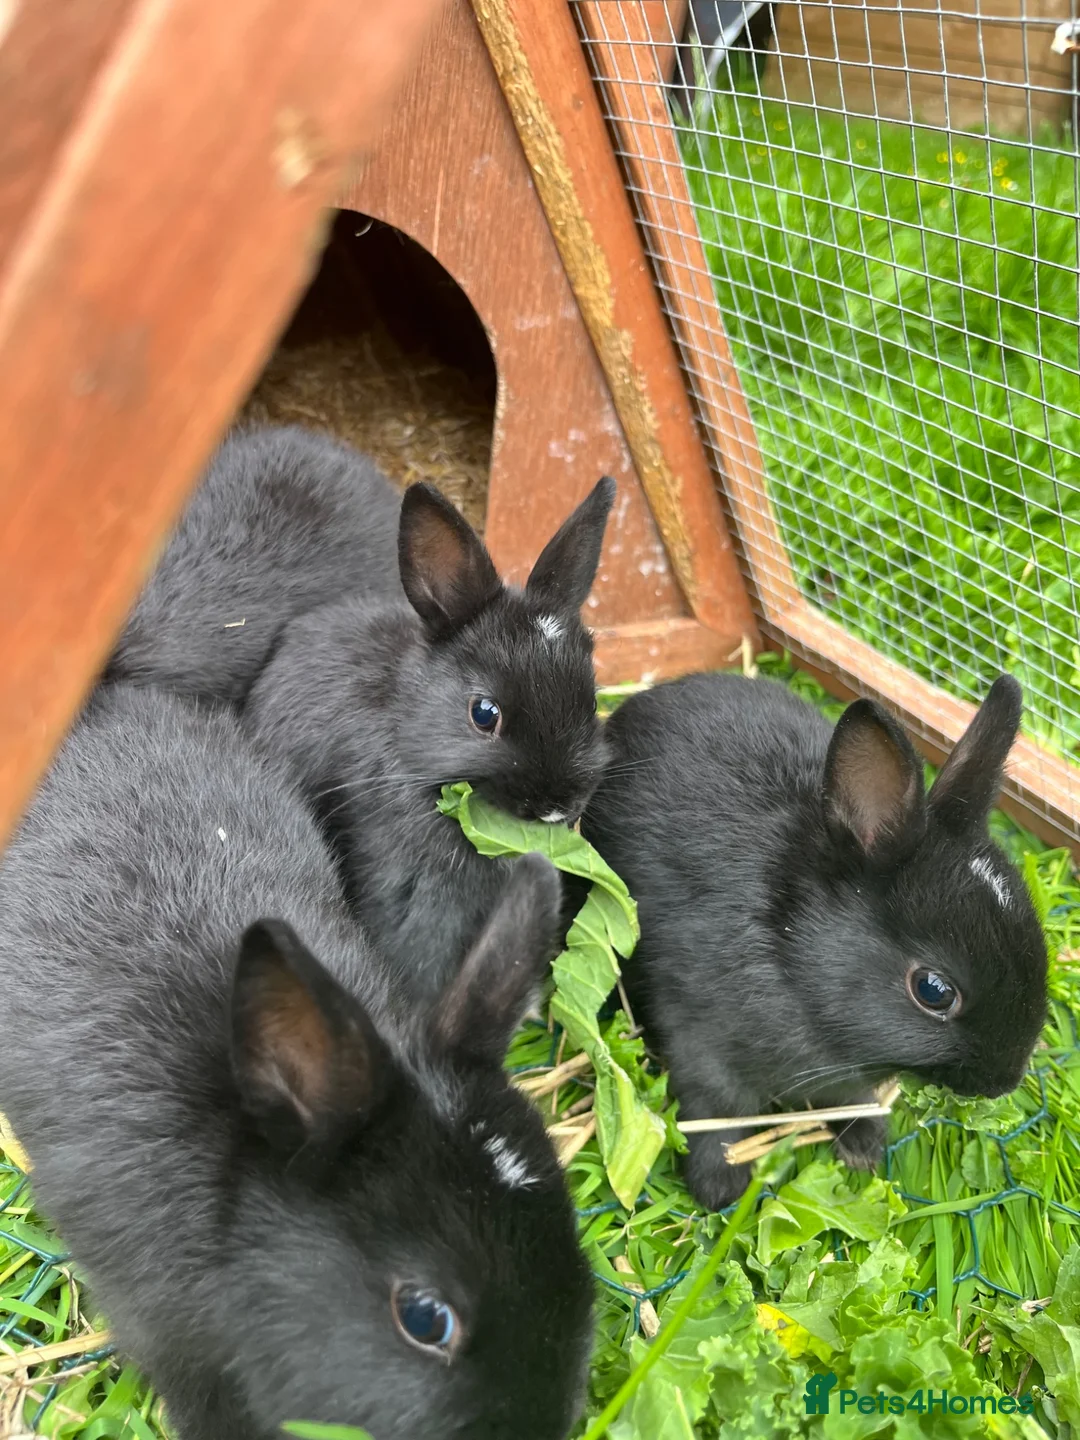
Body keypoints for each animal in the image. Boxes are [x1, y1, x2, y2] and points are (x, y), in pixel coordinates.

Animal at [581, 671, 1048, 1210]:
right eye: (933, 991)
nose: (1004, 1082)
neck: (794, 956)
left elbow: (849, 1098)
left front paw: (864, 1148)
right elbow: (714, 1111)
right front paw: (719, 1186)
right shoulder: (701, 1043)